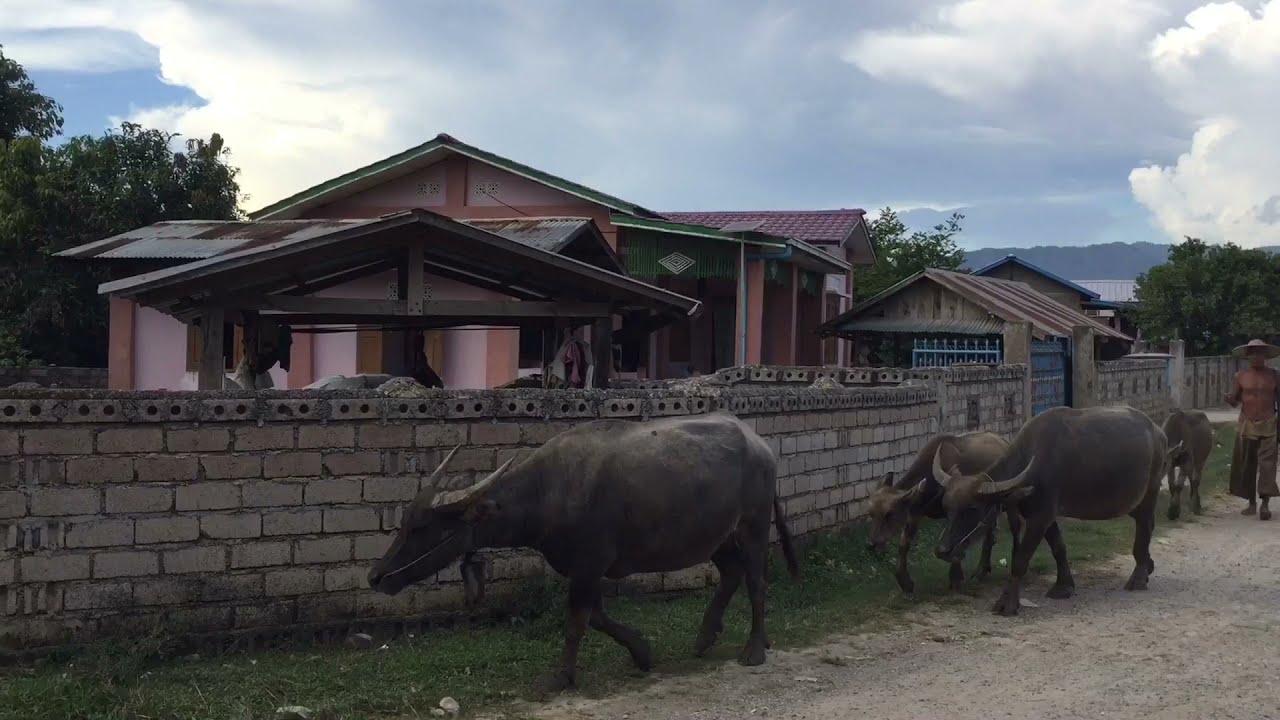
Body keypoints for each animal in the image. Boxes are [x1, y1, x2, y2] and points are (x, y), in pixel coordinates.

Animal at [366, 412, 793, 691]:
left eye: (423, 527)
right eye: (404, 520)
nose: (376, 577)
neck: (550, 492)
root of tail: (760, 445)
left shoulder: (589, 564)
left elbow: (576, 621)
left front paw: (561, 676)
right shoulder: (583, 568)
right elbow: (598, 617)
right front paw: (642, 652)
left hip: (754, 526)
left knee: (757, 582)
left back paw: (755, 648)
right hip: (714, 536)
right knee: (731, 573)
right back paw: (705, 638)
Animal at [865, 427, 1024, 591]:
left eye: (889, 514)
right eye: (871, 514)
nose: (871, 544)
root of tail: (1004, 442)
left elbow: (956, 538)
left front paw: (955, 576)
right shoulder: (916, 511)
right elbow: (904, 544)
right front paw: (905, 581)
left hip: (1010, 502)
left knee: (1015, 527)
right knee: (989, 532)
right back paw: (982, 570)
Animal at [931, 407, 1177, 614]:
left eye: (972, 509)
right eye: (947, 507)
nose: (942, 550)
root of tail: (1159, 433)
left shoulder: (1040, 517)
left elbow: (1020, 559)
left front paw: (1007, 602)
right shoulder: (1046, 518)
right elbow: (1059, 548)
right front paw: (1064, 586)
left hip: (1150, 493)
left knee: (1144, 528)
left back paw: (1138, 577)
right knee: (1148, 526)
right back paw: (1148, 566)